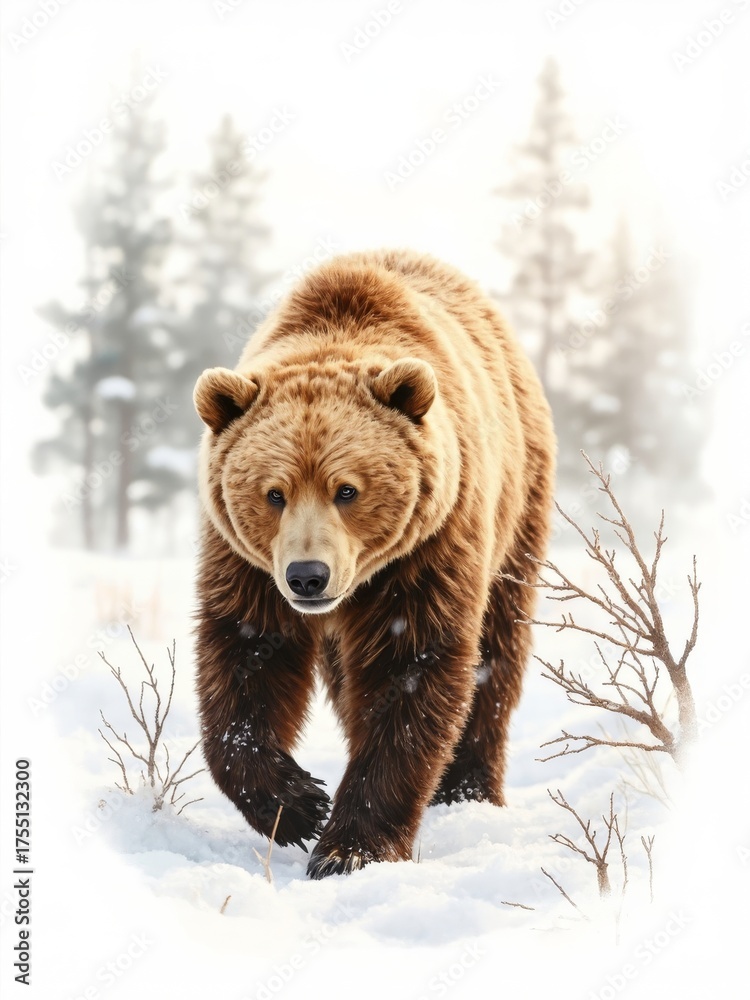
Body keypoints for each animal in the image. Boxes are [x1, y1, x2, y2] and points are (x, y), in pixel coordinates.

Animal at [193, 249, 555, 879]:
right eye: (274, 493)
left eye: (347, 489)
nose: (308, 576)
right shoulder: (246, 566)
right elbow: (245, 658)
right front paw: (298, 803)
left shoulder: (427, 552)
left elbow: (409, 671)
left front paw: (349, 848)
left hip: (516, 513)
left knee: (497, 657)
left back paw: (467, 789)